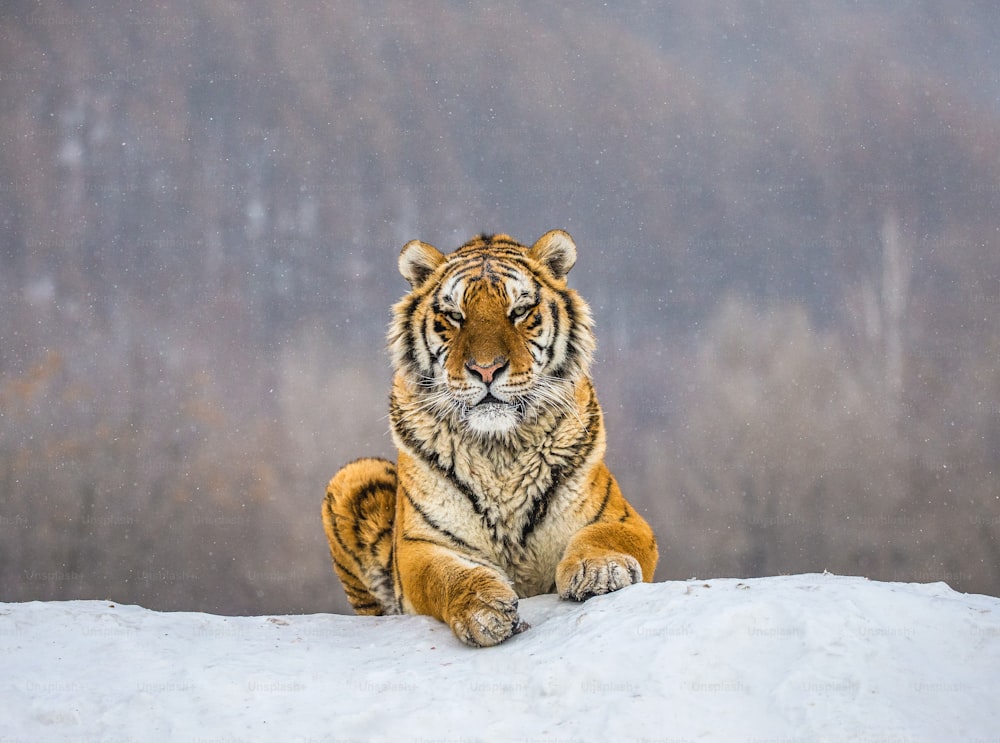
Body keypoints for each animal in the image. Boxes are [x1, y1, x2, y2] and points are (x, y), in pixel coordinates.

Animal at [324, 230, 660, 648]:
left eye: (519, 311)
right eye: (454, 316)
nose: (486, 369)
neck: (499, 450)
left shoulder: (621, 517)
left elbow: (606, 536)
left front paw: (600, 570)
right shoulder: (421, 545)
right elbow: (445, 576)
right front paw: (483, 608)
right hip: (353, 476)